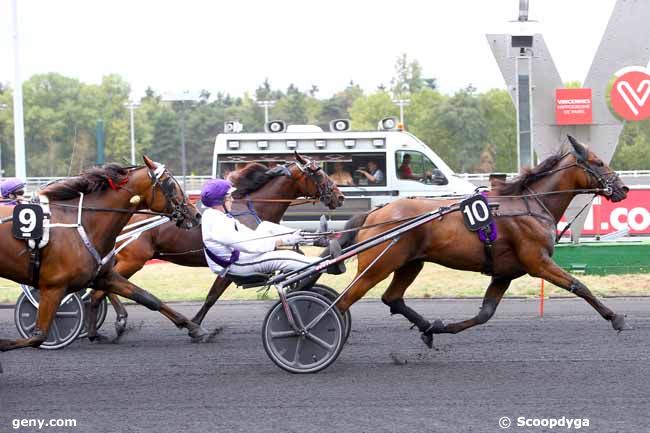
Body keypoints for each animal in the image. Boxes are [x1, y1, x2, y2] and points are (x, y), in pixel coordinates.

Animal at [0, 156, 202, 354]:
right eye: (170, 183)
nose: (196, 214)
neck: (83, 223)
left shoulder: (104, 275)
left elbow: (147, 298)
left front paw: (193, 327)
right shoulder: (52, 287)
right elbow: (37, 336)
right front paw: (4, 343)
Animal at [88, 152, 346, 338]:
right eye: (318, 172)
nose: (339, 196)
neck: (250, 206)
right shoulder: (236, 261)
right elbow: (212, 296)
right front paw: (195, 326)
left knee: (104, 287)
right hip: (133, 260)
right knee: (101, 289)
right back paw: (108, 321)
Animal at [330, 137, 628, 346]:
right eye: (598, 162)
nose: (623, 188)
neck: (530, 205)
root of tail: (375, 213)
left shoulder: (504, 273)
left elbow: (485, 313)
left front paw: (442, 327)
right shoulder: (538, 262)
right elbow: (579, 286)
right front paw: (615, 318)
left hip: (410, 264)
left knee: (391, 298)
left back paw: (427, 328)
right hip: (378, 266)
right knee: (343, 302)